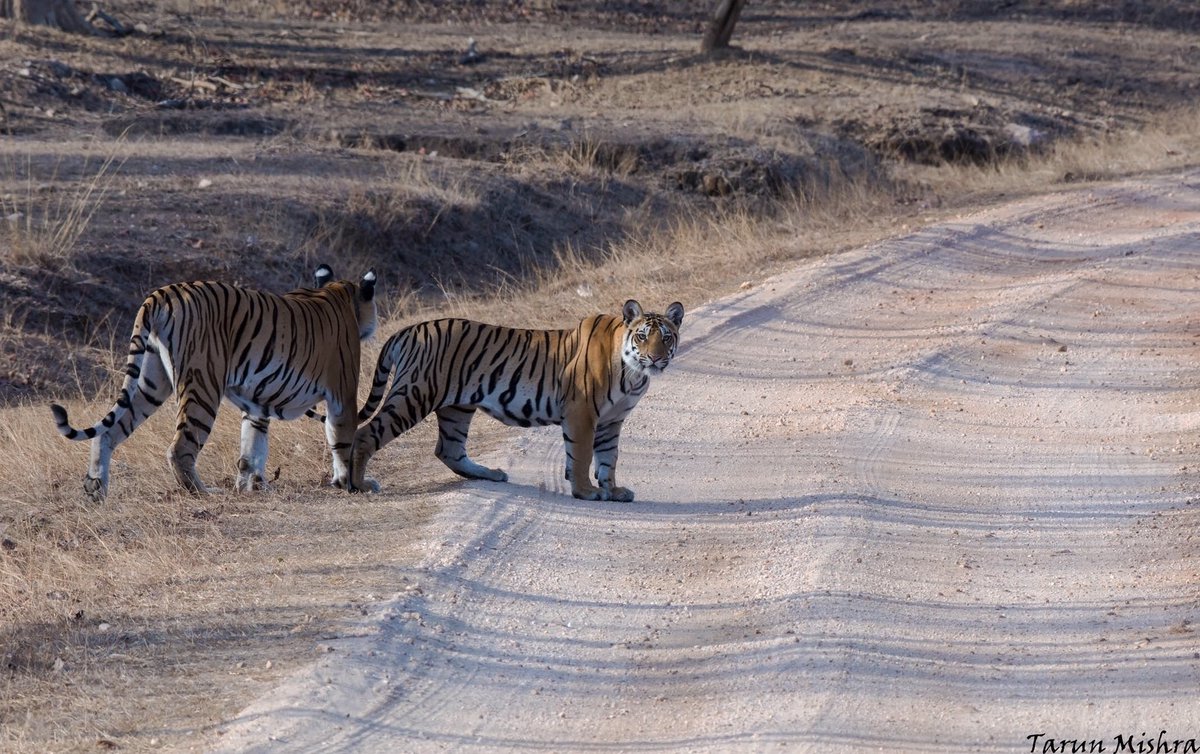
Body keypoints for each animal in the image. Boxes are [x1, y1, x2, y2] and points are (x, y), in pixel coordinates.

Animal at [50, 264, 378, 501]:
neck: (339, 293)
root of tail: (163, 292)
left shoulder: (258, 401)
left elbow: (252, 446)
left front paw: (252, 486)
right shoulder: (342, 393)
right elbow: (342, 439)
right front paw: (352, 483)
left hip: (151, 382)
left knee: (108, 432)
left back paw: (95, 488)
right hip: (202, 386)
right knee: (180, 447)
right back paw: (202, 491)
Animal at [346, 299, 684, 501]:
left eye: (666, 337)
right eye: (642, 336)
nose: (656, 358)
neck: (633, 374)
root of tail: (408, 329)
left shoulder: (612, 421)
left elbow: (608, 458)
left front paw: (612, 490)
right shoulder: (582, 413)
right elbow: (582, 455)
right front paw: (585, 491)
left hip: (457, 407)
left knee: (448, 450)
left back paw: (491, 474)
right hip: (415, 394)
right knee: (365, 434)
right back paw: (357, 485)